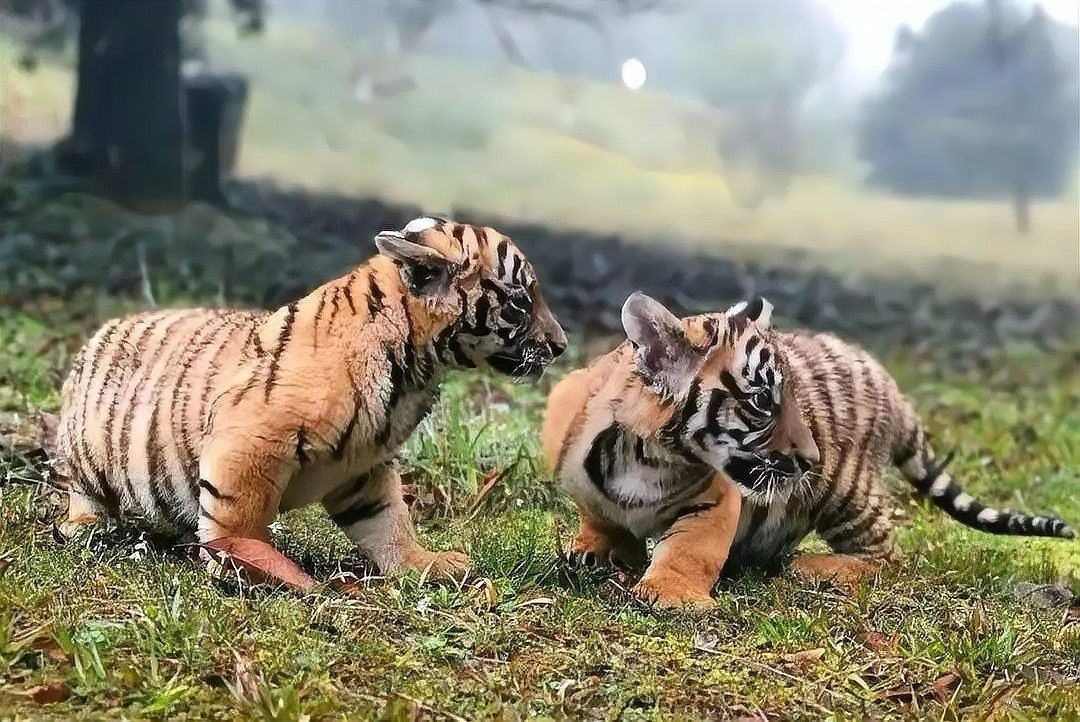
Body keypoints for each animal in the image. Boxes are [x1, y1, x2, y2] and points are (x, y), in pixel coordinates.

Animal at [49, 216, 566, 589]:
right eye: (521, 301)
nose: (560, 346)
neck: (415, 369)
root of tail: (99, 332)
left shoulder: (364, 464)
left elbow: (388, 521)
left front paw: (424, 565)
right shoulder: (250, 441)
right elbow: (240, 519)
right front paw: (257, 569)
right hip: (88, 458)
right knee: (82, 494)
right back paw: (84, 527)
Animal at [543, 292, 1073, 609]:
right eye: (762, 400)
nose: (811, 457)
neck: (650, 455)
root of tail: (891, 386)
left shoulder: (717, 501)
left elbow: (691, 550)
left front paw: (669, 595)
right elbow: (599, 514)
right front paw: (593, 548)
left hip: (845, 490)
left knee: (887, 554)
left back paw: (811, 567)